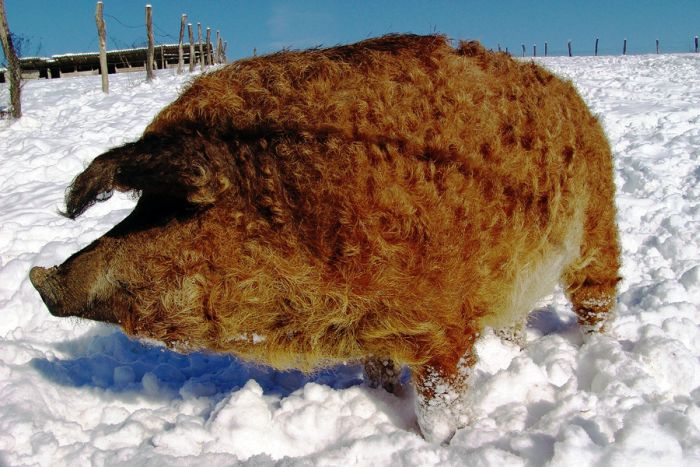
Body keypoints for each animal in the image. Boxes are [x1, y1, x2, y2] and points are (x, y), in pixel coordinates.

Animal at [30, 34, 620, 444]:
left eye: (171, 208)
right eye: (141, 206)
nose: (39, 278)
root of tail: (576, 101)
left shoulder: (442, 324)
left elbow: (438, 403)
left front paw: (448, 442)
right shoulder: (380, 329)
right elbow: (381, 374)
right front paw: (382, 399)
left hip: (597, 231)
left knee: (597, 298)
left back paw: (599, 351)